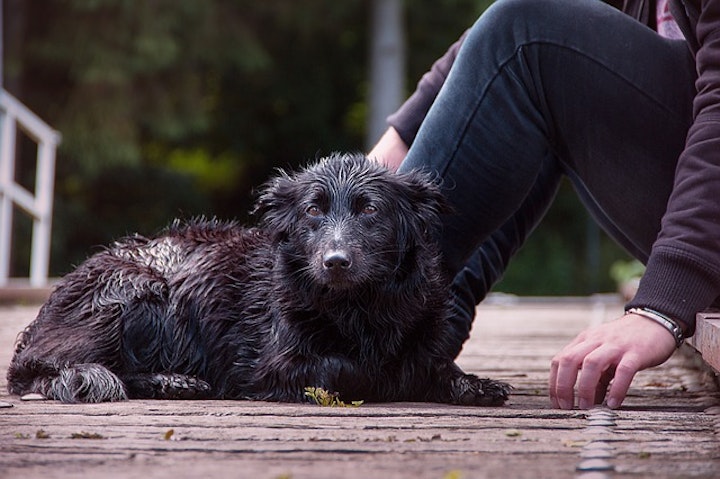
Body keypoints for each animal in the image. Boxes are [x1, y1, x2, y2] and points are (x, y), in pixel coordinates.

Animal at [5, 154, 512, 404]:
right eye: (313, 211)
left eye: (370, 209)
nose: (335, 261)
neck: (357, 306)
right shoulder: (272, 364)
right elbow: (350, 368)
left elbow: (430, 364)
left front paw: (471, 384)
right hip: (135, 292)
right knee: (39, 370)